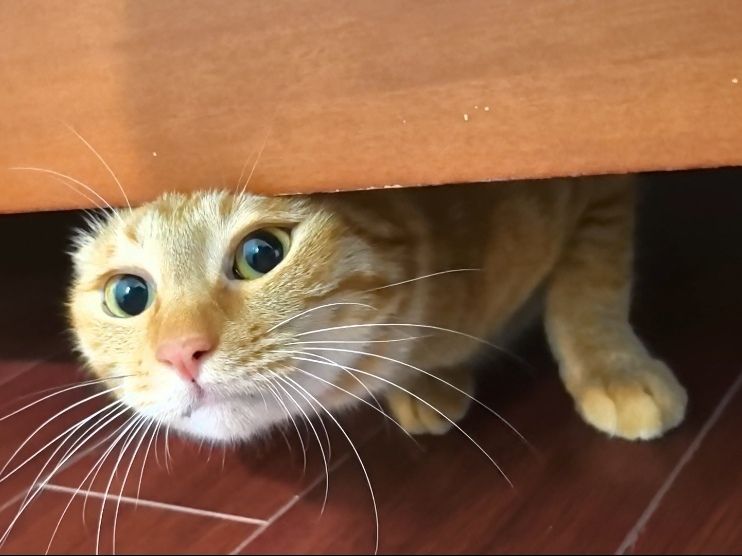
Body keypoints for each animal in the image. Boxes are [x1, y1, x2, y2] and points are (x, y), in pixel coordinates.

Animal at [67, 175, 687, 444]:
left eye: (261, 253)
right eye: (129, 295)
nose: (180, 353)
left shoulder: (598, 187)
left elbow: (588, 285)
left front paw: (613, 370)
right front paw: (432, 384)